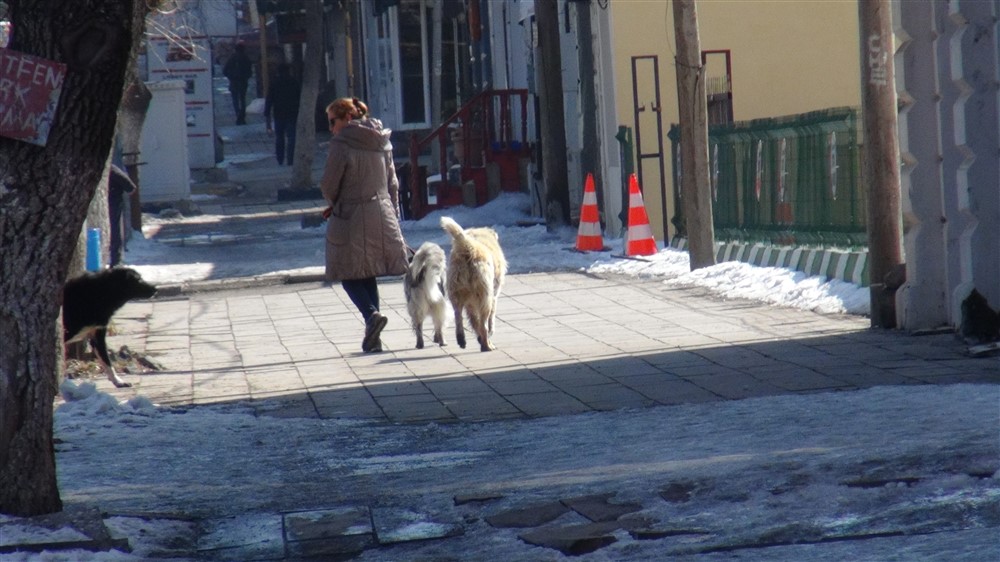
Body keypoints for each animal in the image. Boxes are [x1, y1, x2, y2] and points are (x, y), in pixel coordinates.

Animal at [442, 215, 508, 350]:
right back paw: (487, 346)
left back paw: (462, 339)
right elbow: (489, 321)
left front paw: (479, 339)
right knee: (484, 324)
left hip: (456, 294)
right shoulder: (493, 297)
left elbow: (474, 321)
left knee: (458, 317)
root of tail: (467, 246)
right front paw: (486, 338)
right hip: (485, 297)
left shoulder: (470, 304)